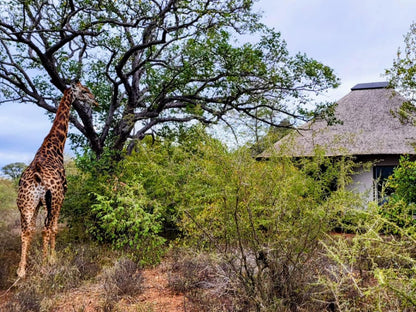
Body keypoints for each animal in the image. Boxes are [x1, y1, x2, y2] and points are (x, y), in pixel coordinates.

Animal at [16, 81, 97, 278]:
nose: (94, 99)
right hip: (52, 199)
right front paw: (52, 257)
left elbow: (33, 229)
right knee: (46, 229)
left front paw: (31, 261)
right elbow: (54, 228)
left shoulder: (38, 203)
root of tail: (37, 176)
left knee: (25, 231)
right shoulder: (61, 197)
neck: (54, 145)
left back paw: (21, 270)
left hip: (25, 203)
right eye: (84, 91)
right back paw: (45, 265)